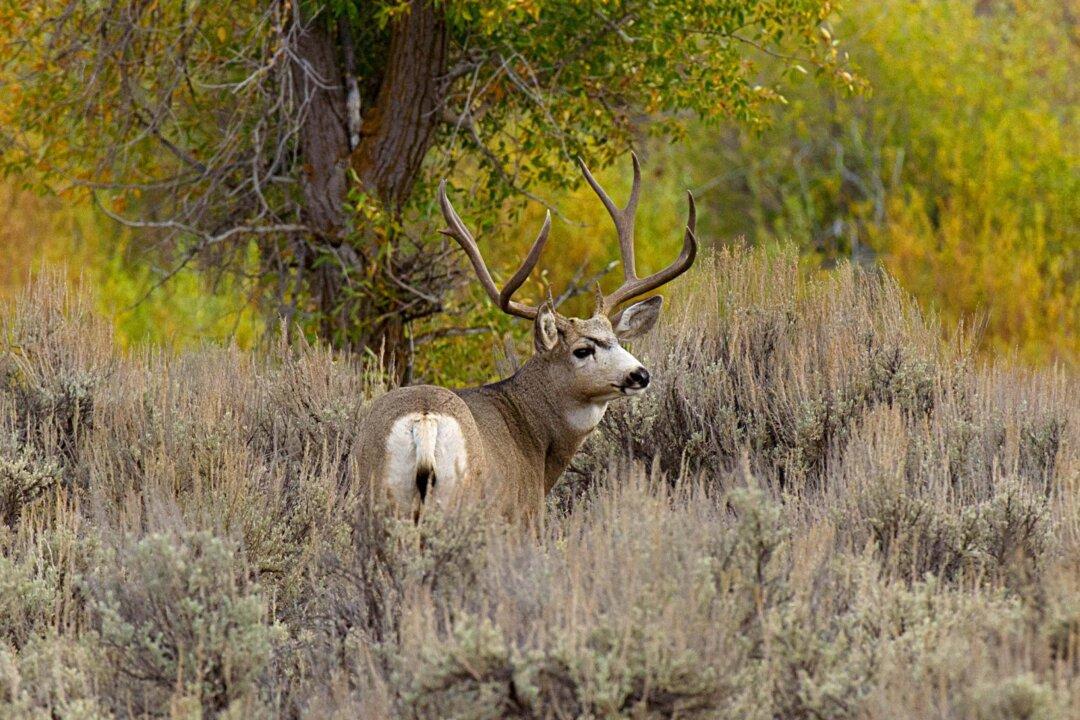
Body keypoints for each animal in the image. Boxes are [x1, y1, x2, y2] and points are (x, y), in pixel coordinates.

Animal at [355, 154, 697, 521]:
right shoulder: (525, 512)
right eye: (581, 350)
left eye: (617, 341)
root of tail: (424, 417)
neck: (535, 441)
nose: (640, 374)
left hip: (380, 499)